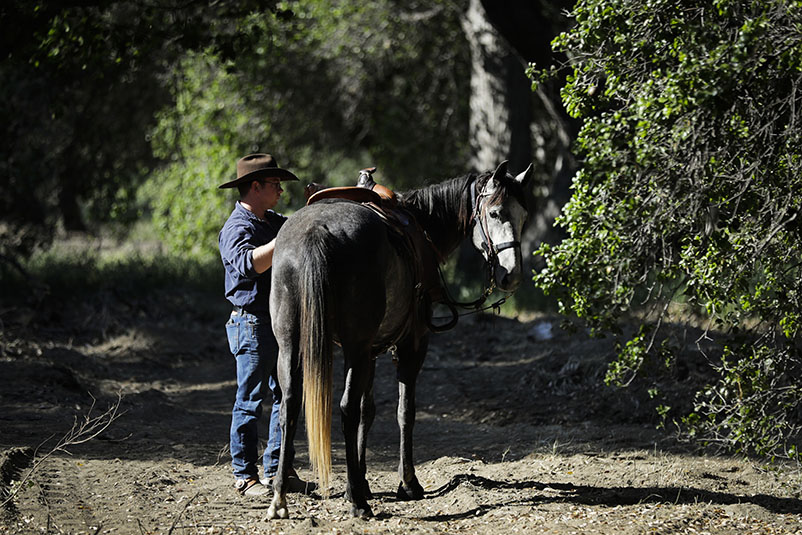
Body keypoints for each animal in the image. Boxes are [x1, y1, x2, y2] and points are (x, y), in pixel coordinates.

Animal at [268, 160, 532, 520]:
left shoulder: (371, 351)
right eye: (494, 213)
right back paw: (357, 502)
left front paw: (362, 479)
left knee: (290, 404)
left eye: (524, 215)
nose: (512, 275)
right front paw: (407, 484)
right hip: (353, 347)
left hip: (291, 345)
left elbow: (368, 410)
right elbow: (405, 410)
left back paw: (280, 497)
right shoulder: (411, 345)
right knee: (345, 410)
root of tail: (316, 232)